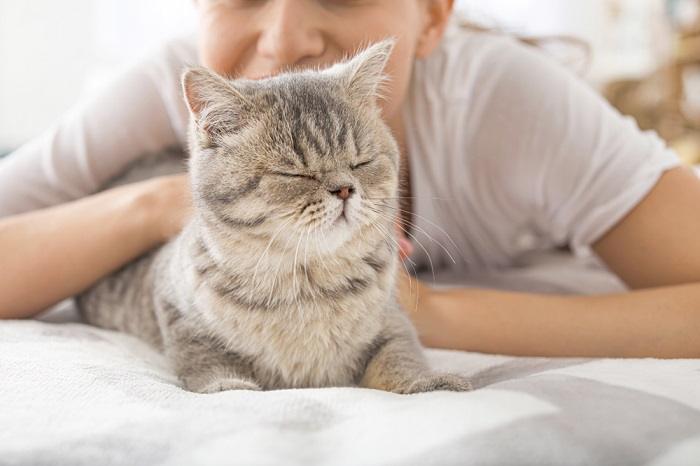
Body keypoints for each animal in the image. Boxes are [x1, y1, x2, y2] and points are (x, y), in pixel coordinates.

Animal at [76, 40, 474, 396]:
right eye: (294, 173)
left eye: (361, 162)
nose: (345, 189)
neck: (305, 288)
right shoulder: (174, 306)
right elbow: (205, 358)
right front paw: (228, 385)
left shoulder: (393, 319)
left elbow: (400, 354)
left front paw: (427, 382)